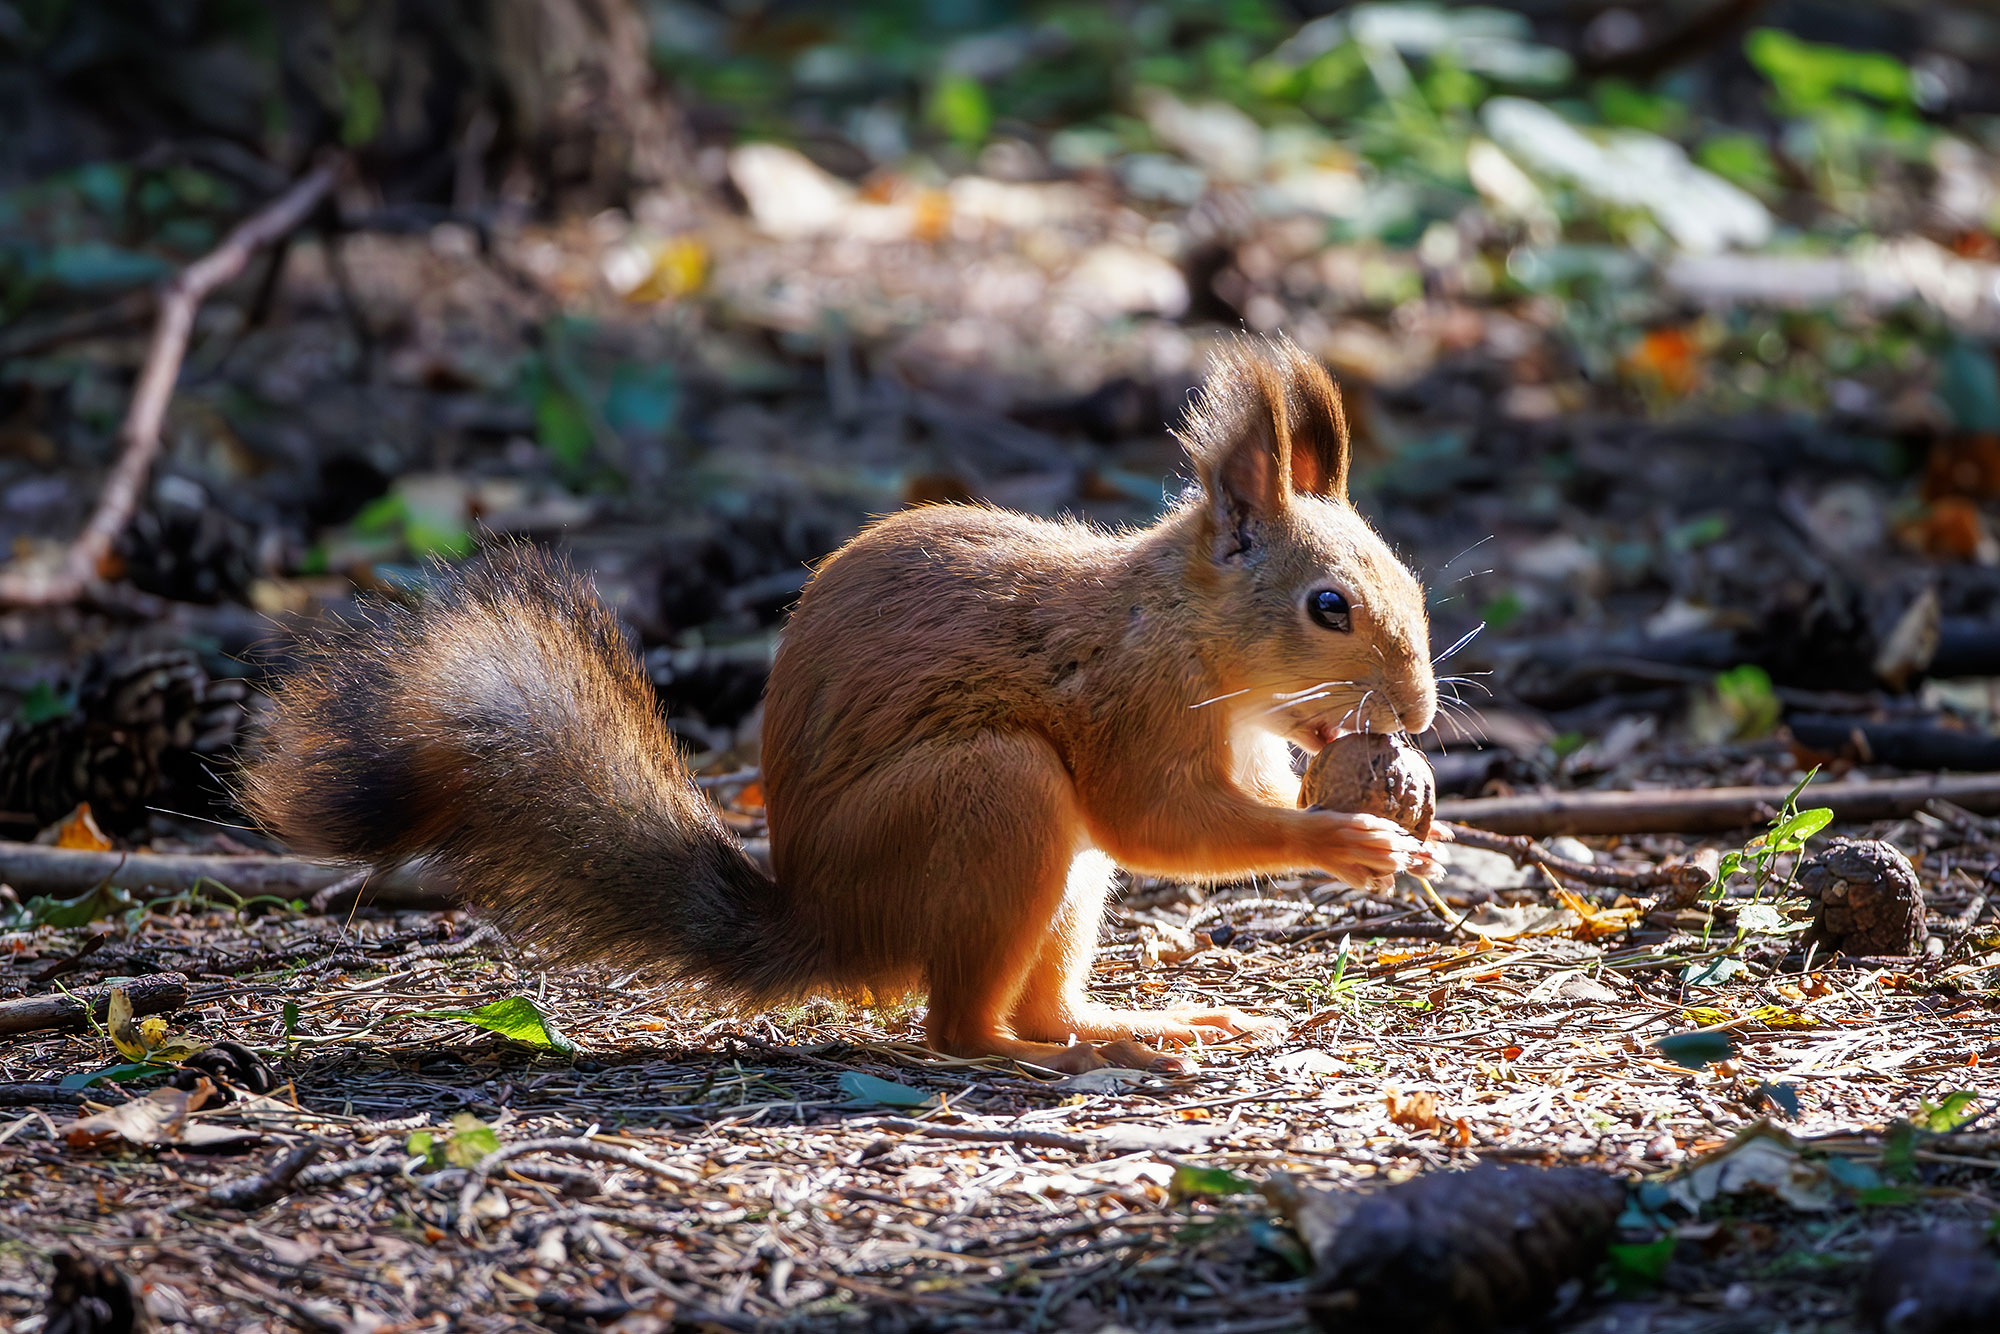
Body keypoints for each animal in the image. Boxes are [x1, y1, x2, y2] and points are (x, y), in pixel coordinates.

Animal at [246, 342, 1440, 1072]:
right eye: (1327, 605)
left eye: (1407, 576)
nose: (1422, 712)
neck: (1187, 628)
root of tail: (825, 920)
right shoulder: (1129, 706)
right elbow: (1160, 822)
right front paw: (1349, 838)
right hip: (991, 794)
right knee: (960, 1027)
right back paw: (1064, 1053)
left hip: (1055, 874)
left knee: (1028, 994)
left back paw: (1131, 1022)